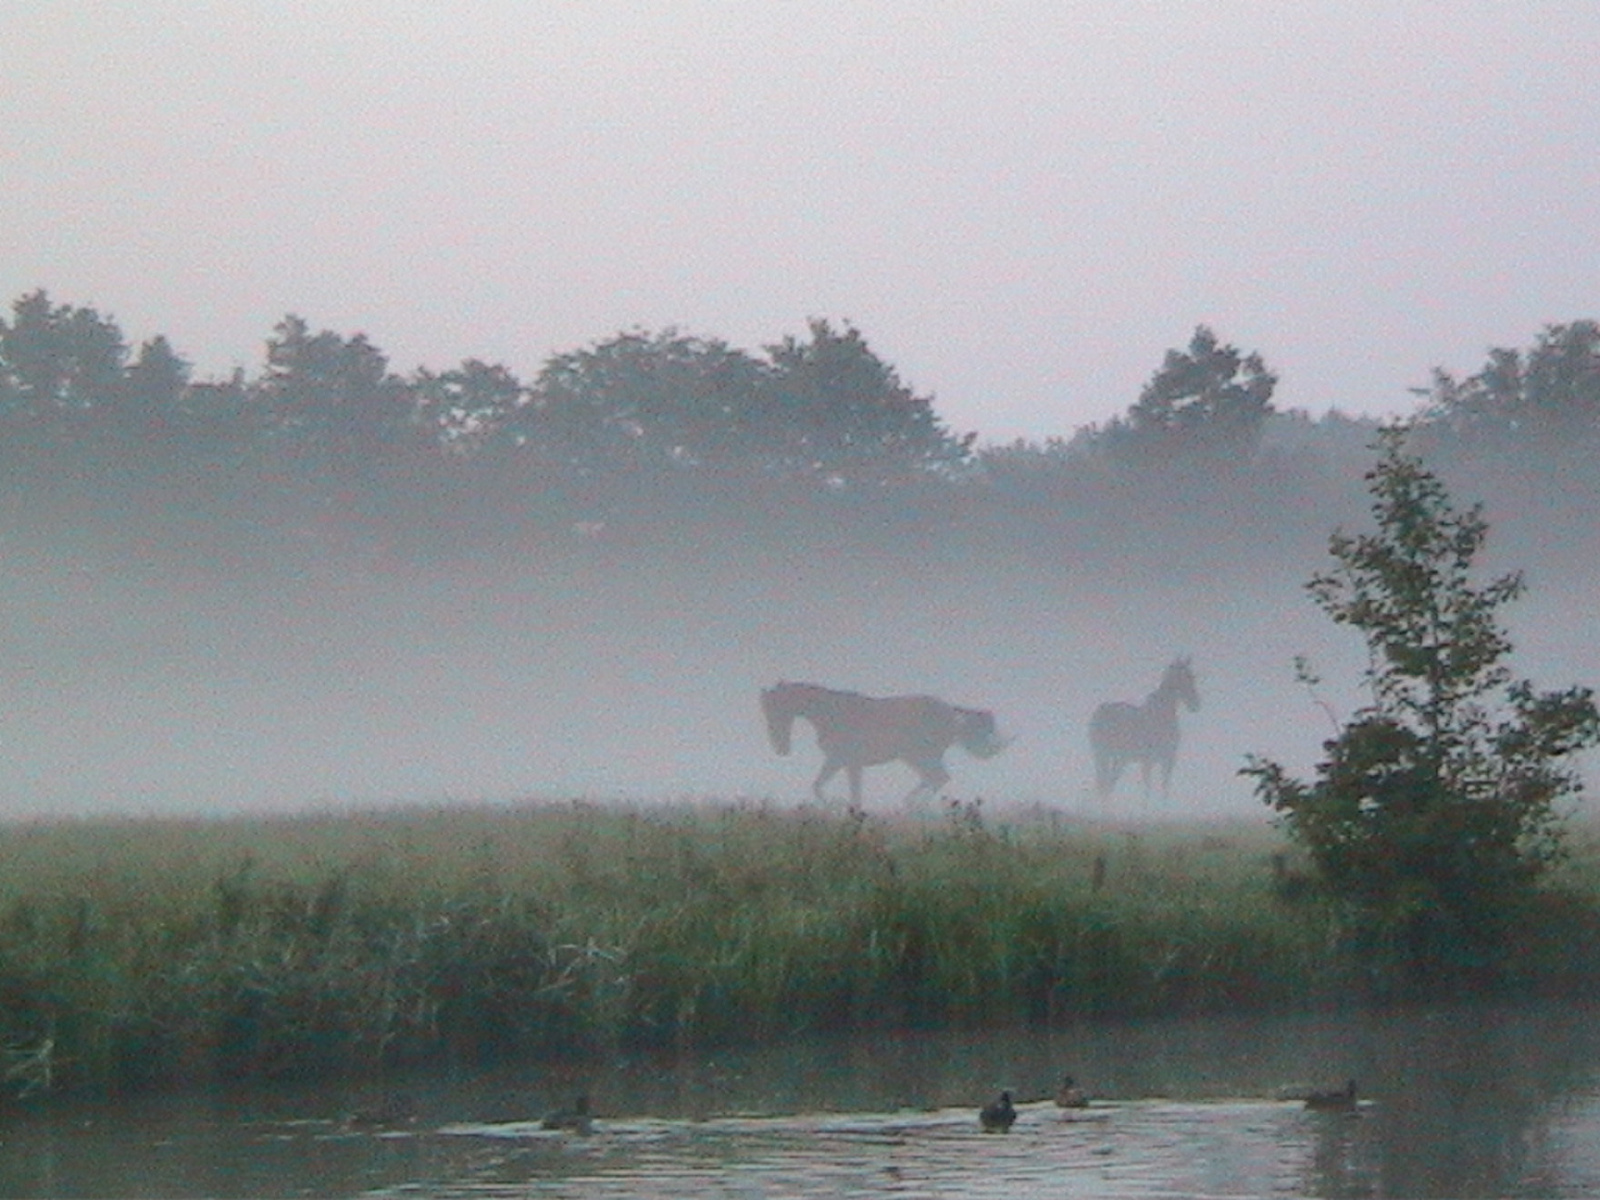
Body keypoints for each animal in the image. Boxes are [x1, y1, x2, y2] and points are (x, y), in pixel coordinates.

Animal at [758, 681, 1004, 812]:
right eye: (766, 713)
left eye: (778, 711)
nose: (780, 748)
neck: (832, 713)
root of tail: (951, 713)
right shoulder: (838, 761)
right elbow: (819, 786)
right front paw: (836, 807)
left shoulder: (848, 762)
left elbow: (850, 793)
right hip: (916, 757)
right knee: (935, 779)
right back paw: (911, 805)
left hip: (919, 756)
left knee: (938, 778)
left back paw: (912, 806)